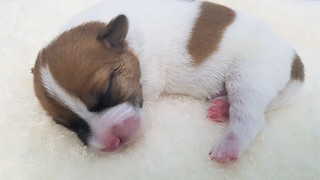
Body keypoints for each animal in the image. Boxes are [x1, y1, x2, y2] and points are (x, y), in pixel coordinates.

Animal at [32, 0, 304, 163]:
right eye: (68, 125)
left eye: (108, 89)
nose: (113, 142)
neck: (131, 40)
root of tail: (295, 63)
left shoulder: (149, 79)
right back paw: (223, 107)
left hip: (249, 75)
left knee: (251, 117)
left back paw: (230, 144)